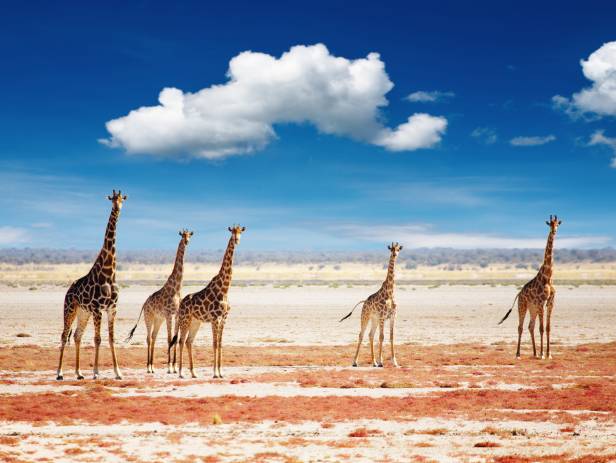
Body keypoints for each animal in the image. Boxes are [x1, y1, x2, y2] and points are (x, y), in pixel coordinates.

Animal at [56, 189, 127, 380]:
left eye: (122, 199)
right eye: (111, 199)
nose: (117, 208)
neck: (109, 273)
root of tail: (68, 291)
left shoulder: (112, 308)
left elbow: (111, 338)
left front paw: (118, 372)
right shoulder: (97, 309)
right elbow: (98, 339)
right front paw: (95, 372)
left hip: (83, 312)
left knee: (77, 336)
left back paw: (79, 373)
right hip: (70, 309)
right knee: (64, 335)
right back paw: (59, 373)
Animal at [125, 230, 192, 376]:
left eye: (190, 235)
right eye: (182, 235)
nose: (187, 242)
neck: (176, 288)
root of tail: (144, 304)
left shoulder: (177, 315)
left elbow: (175, 338)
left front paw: (173, 366)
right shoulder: (168, 314)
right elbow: (169, 338)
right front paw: (169, 367)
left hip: (158, 319)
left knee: (154, 337)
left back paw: (153, 366)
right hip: (149, 317)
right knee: (148, 338)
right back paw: (148, 367)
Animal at [170, 226, 247, 380]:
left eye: (240, 232)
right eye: (232, 232)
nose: (237, 240)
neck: (225, 288)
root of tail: (181, 305)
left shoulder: (224, 319)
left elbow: (220, 344)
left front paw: (221, 372)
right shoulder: (215, 319)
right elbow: (214, 344)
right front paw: (215, 373)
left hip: (196, 322)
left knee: (189, 341)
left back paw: (193, 373)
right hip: (185, 320)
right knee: (181, 341)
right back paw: (181, 373)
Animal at [498, 216, 560, 360]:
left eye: (558, 224)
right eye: (550, 224)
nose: (554, 231)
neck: (548, 277)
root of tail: (519, 294)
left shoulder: (550, 303)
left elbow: (547, 328)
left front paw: (548, 354)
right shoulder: (541, 303)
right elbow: (541, 328)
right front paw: (543, 354)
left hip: (533, 308)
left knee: (530, 326)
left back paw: (534, 353)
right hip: (523, 305)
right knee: (520, 327)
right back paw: (518, 354)